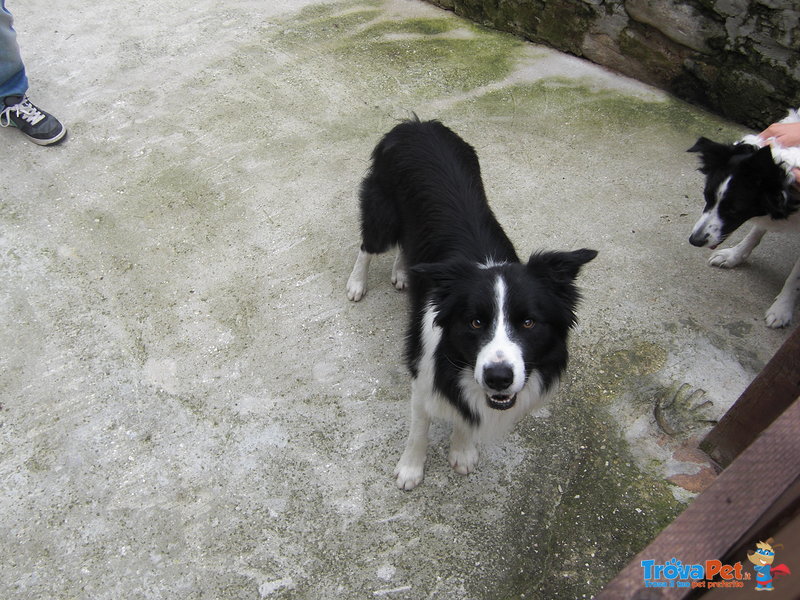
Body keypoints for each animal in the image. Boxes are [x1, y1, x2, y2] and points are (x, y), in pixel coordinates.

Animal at [346, 119, 596, 490]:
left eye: (528, 322)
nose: (499, 378)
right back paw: (356, 283)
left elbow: (468, 419)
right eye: (475, 322)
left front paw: (462, 451)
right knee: (368, 245)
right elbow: (419, 427)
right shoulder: (424, 371)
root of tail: (414, 124)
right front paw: (410, 469)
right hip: (383, 214)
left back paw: (403, 273)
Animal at [688, 110, 800, 330]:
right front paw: (734, 256)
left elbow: (795, 277)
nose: (694, 241)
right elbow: (755, 233)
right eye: (707, 196)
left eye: (734, 208)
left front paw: (782, 308)